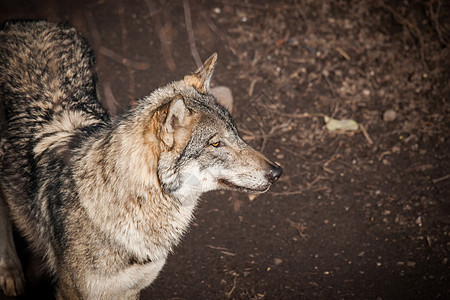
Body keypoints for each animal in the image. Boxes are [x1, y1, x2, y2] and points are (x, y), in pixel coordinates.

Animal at [0, 19, 282, 298]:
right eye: (216, 143)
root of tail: (25, 23)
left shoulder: (131, 289)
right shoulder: (76, 292)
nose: (277, 172)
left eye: (235, 133)